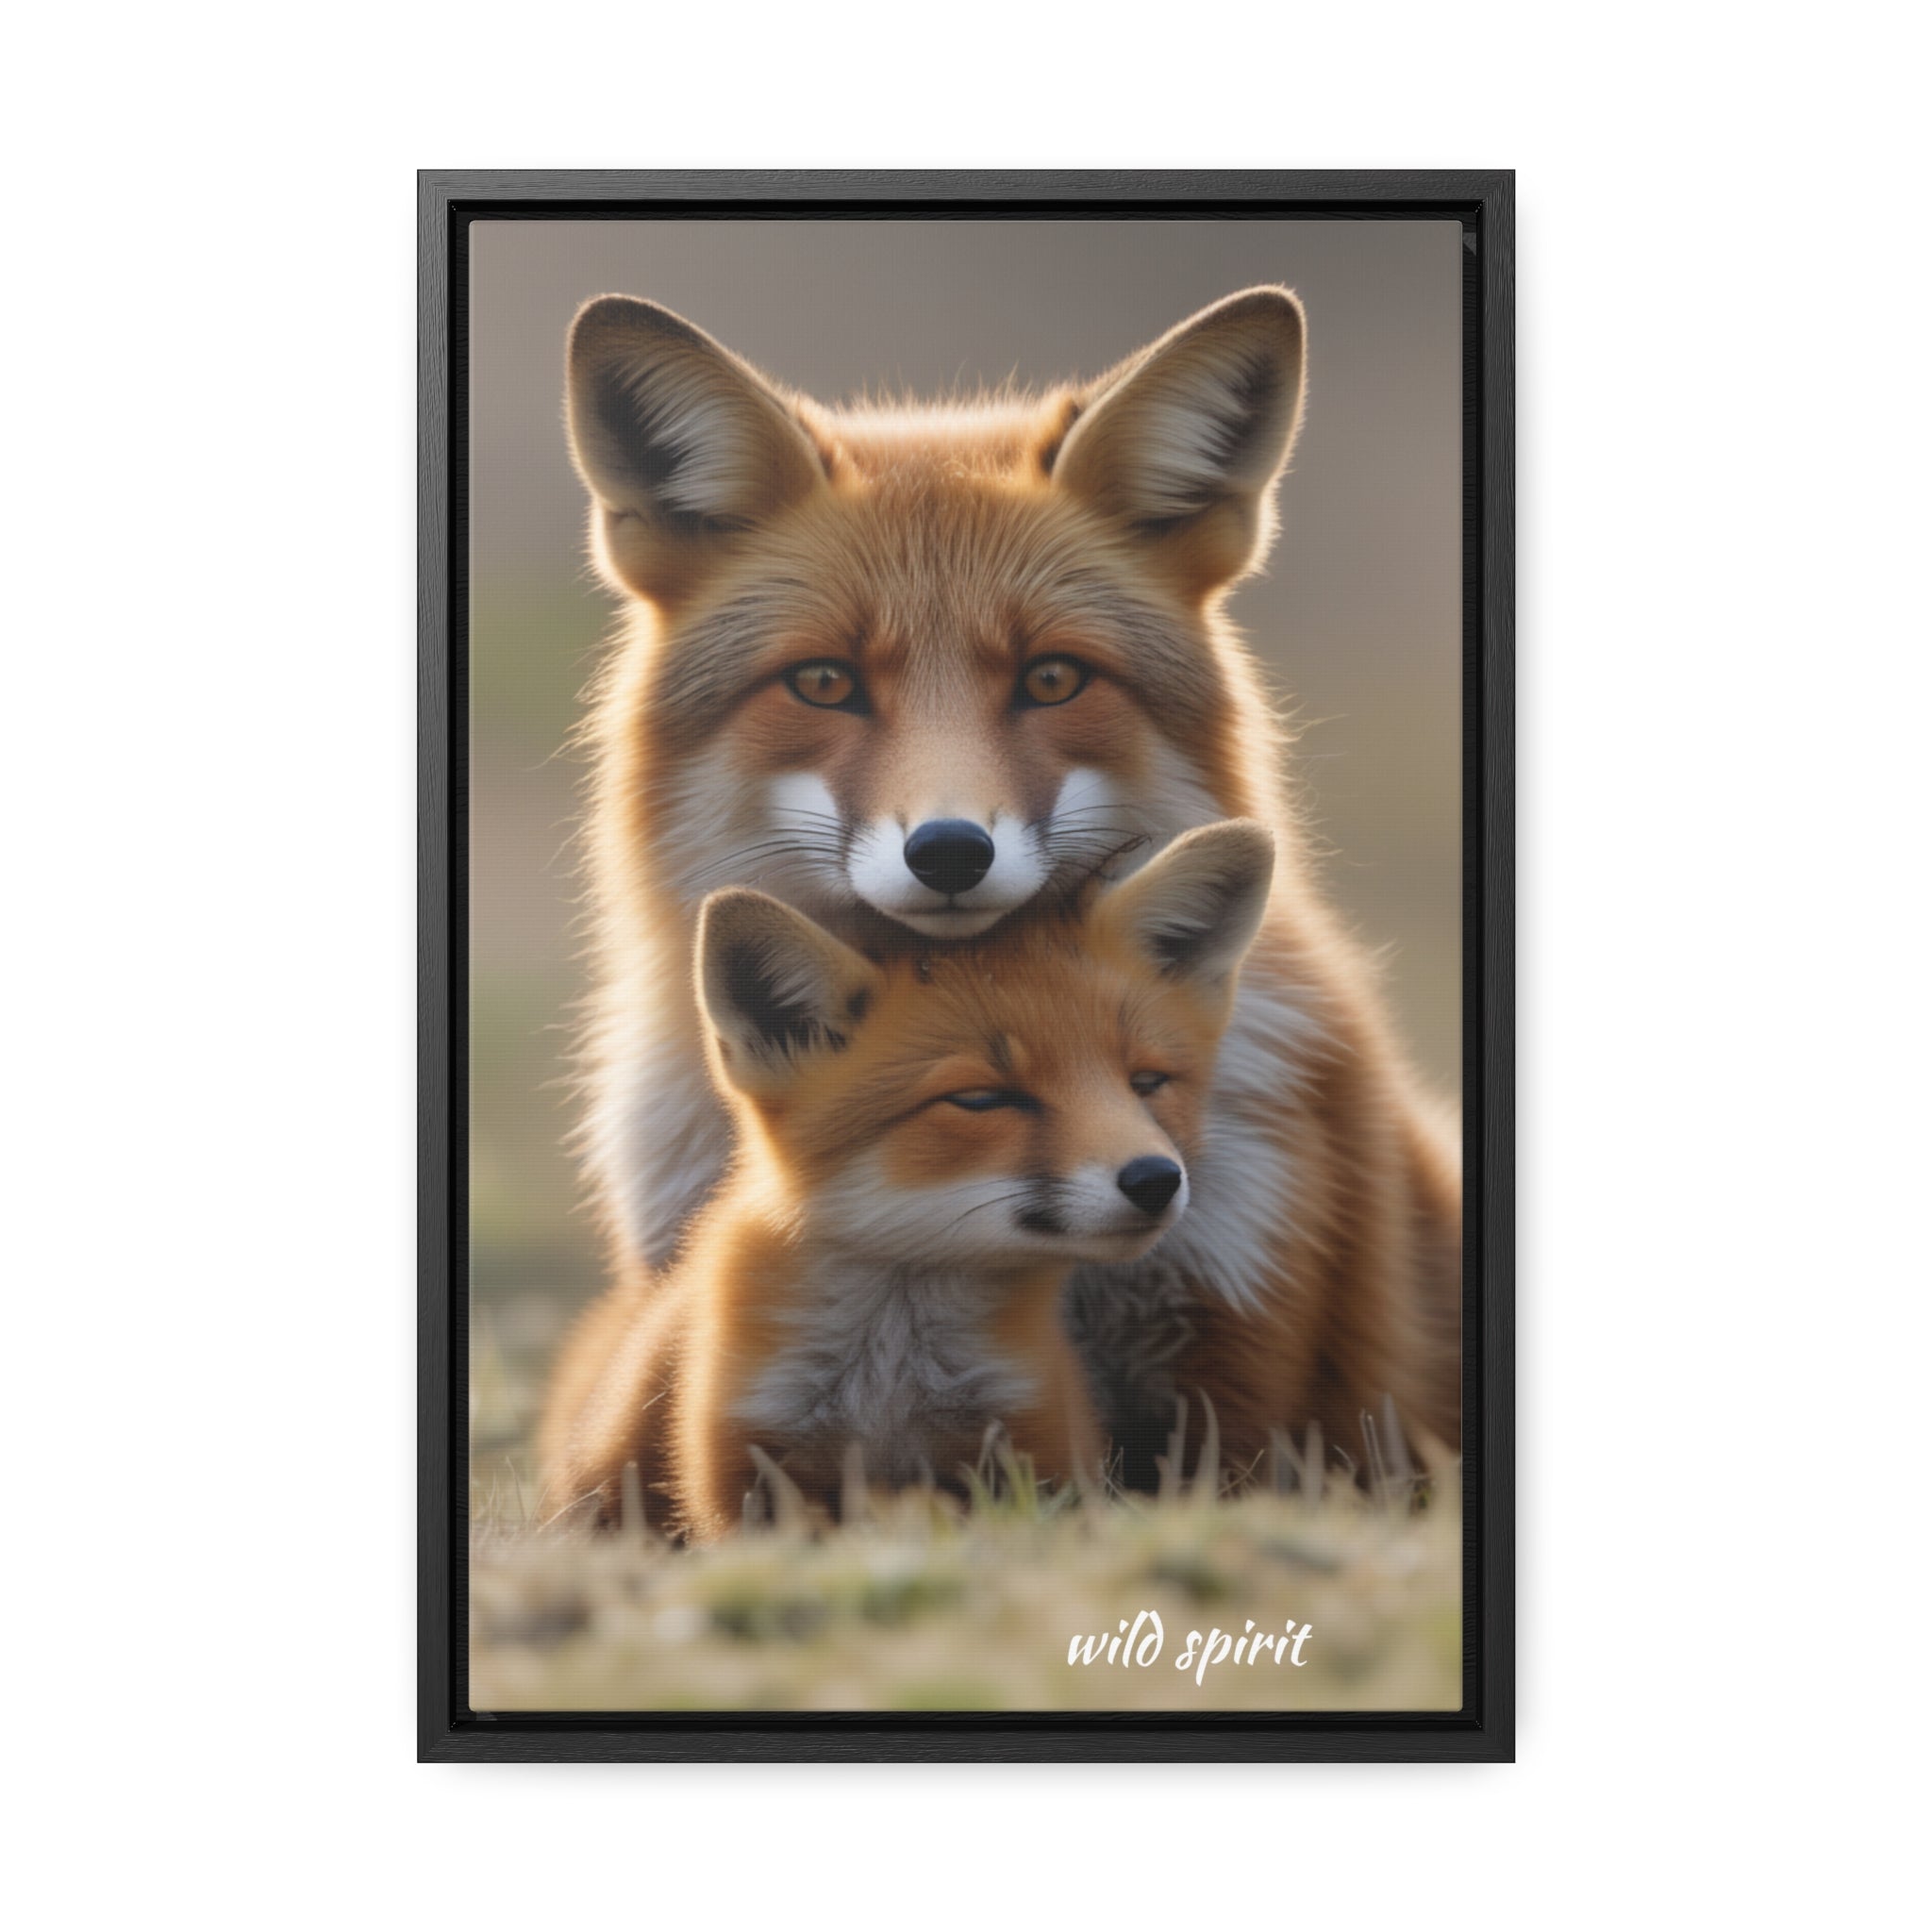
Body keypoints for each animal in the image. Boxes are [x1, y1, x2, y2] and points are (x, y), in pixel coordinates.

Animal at [539, 822, 1275, 1537]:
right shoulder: (744, 1469)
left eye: (1146, 1083)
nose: (1155, 1179)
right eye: (982, 1099)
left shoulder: (1036, 1448)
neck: (891, 1379)